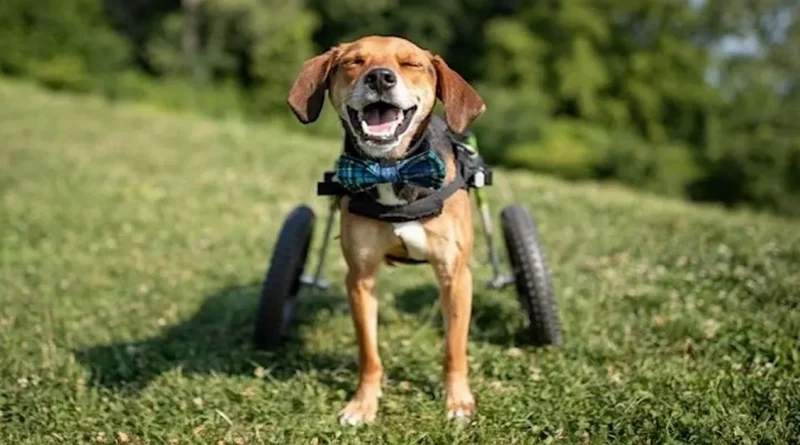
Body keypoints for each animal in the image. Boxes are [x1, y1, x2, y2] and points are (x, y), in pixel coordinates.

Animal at [288, 33, 488, 424]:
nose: (380, 78)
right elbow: (369, 353)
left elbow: (454, 348)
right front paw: (363, 404)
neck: (391, 169)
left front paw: (458, 401)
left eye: (411, 63)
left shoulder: (456, 276)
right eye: (353, 61)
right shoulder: (360, 278)